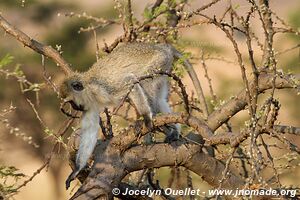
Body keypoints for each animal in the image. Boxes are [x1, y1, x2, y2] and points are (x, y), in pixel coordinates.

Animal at [59, 42, 199, 189]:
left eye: (72, 102)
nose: (76, 108)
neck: (89, 89)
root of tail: (162, 47)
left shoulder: (104, 88)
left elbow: (129, 81)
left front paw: (146, 117)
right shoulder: (90, 105)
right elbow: (89, 130)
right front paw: (77, 170)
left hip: (159, 62)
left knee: (145, 85)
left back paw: (152, 123)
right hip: (164, 67)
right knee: (160, 99)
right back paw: (173, 131)